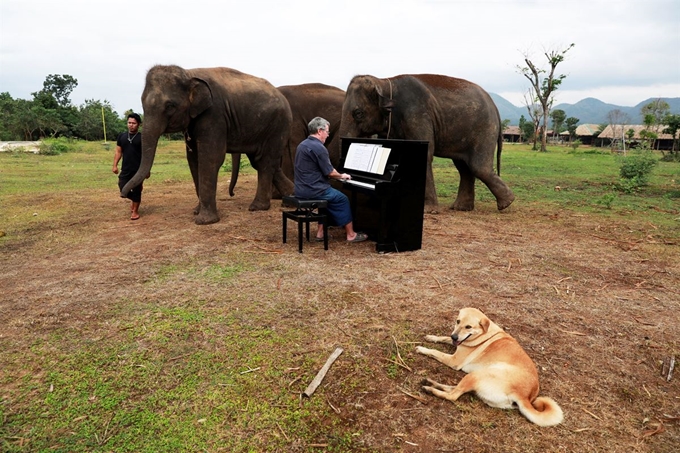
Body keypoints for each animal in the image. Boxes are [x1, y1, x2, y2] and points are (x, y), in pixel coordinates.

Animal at [121, 64, 294, 224]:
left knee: (265, 162)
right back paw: (290, 196)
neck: (188, 73)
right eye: (142, 103)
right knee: (262, 162)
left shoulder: (214, 114)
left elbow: (210, 158)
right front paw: (196, 212)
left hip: (278, 126)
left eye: (170, 106)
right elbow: (193, 160)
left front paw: (204, 221)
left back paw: (258, 207)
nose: (123, 194)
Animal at [340, 73, 516, 211]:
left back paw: (506, 203)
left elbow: (424, 154)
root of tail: (495, 106)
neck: (384, 81)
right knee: (464, 167)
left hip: (484, 129)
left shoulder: (417, 114)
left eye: (358, 113)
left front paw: (428, 210)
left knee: (478, 166)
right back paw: (462, 208)